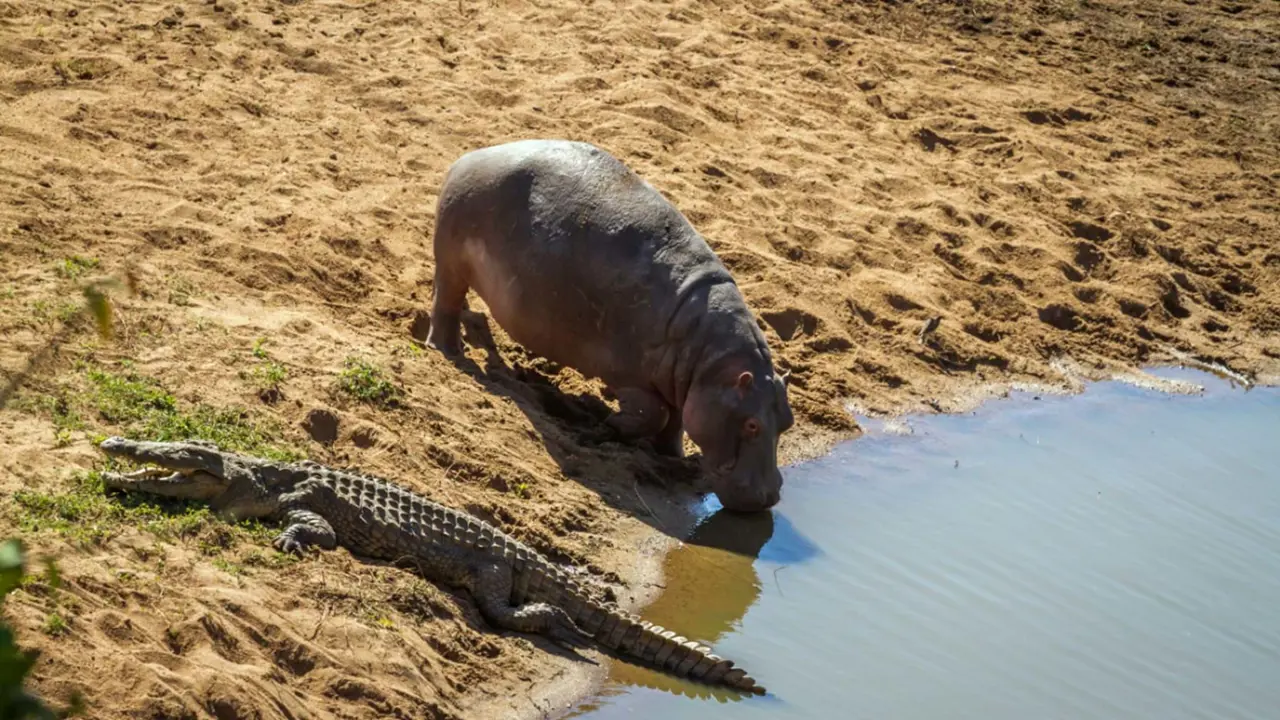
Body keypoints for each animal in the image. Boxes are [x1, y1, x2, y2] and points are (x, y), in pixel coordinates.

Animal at [425, 139, 794, 512]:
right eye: (752, 425)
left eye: (787, 422)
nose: (769, 497)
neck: (711, 361)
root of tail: (468, 158)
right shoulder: (630, 376)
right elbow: (654, 414)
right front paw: (606, 425)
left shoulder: (682, 384)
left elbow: (676, 421)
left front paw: (672, 455)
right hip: (452, 258)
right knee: (445, 303)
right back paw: (448, 349)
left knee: (458, 303)